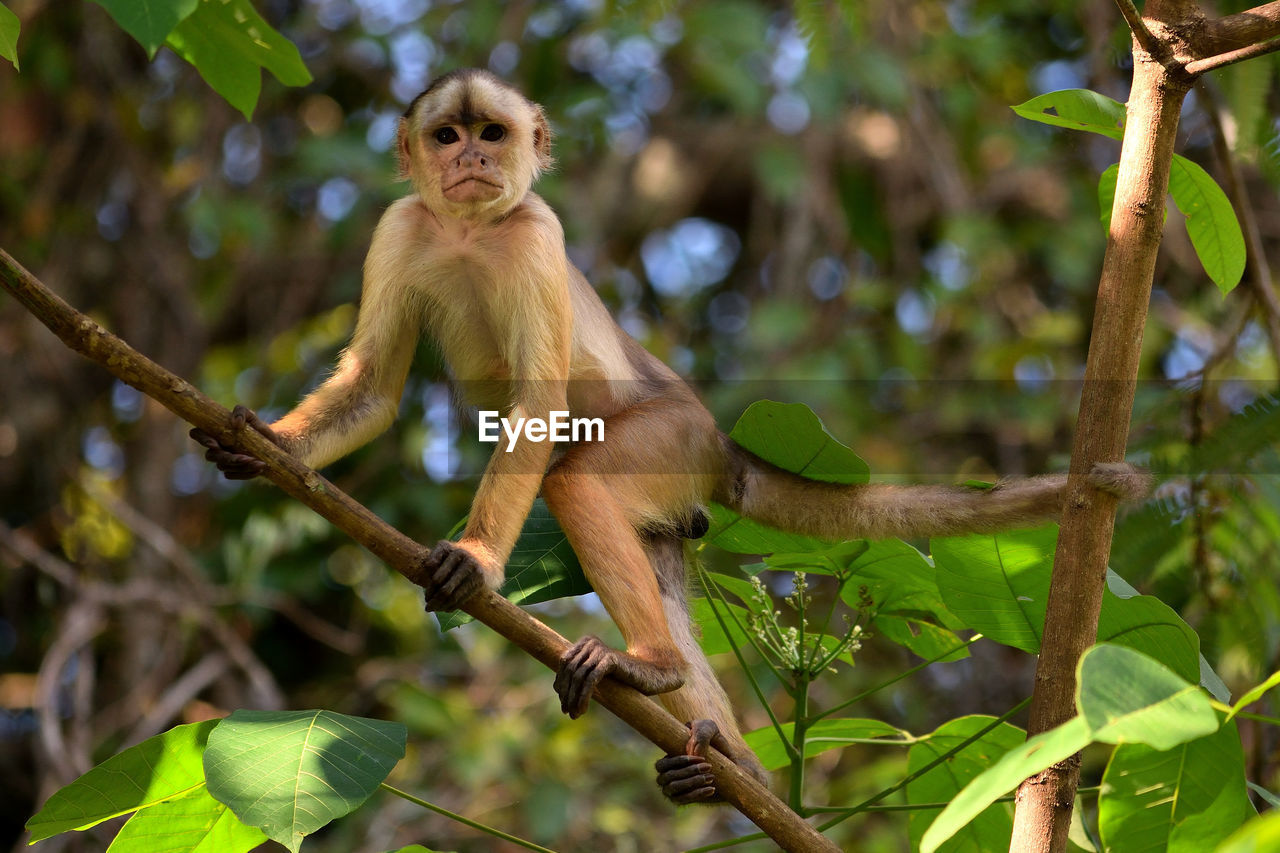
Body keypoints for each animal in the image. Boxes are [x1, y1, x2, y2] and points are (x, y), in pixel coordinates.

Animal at [194, 68, 1157, 804]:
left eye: (492, 132)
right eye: (447, 134)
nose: (470, 157)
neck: (470, 231)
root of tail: (718, 443)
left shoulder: (535, 234)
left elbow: (538, 408)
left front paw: (476, 560)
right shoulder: (404, 224)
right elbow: (373, 388)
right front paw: (271, 447)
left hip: (669, 437)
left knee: (574, 480)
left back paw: (652, 672)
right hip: (670, 502)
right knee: (643, 557)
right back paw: (726, 766)